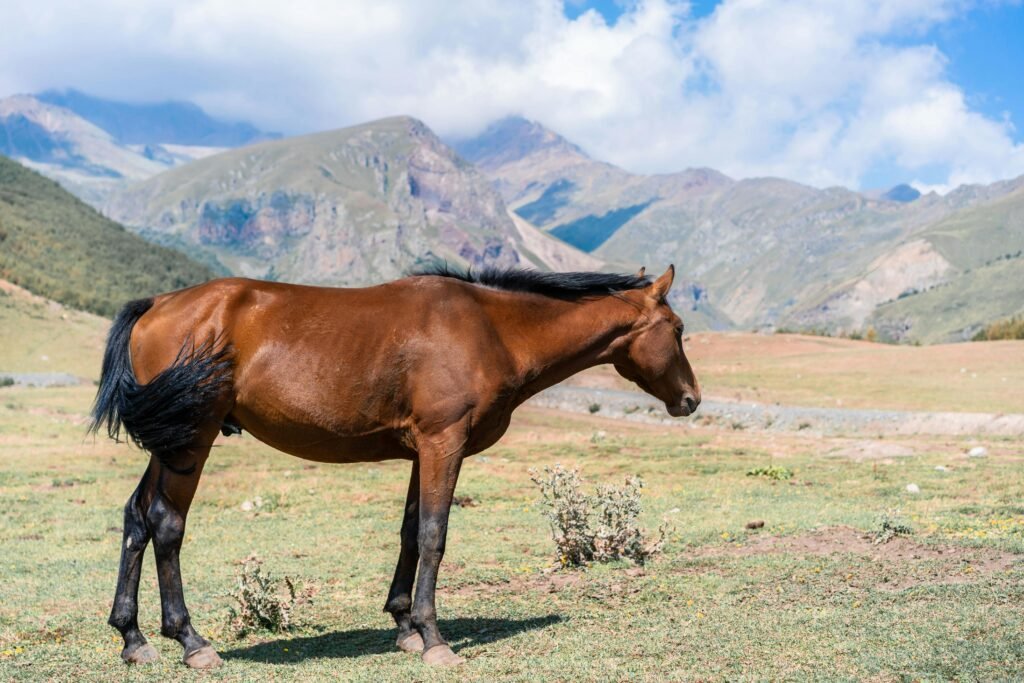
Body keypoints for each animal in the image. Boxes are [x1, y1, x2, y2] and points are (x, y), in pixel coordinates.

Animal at [90, 264, 701, 669]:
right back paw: (191, 642)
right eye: (678, 330)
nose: (691, 399)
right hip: (190, 444)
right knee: (166, 524)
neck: (492, 327)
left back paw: (133, 639)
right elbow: (434, 534)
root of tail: (157, 304)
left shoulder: (420, 451)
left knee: (136, 519)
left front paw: (404, 625)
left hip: (169, 445)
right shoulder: (443, 444)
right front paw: (434, 639)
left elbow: (410, 532)